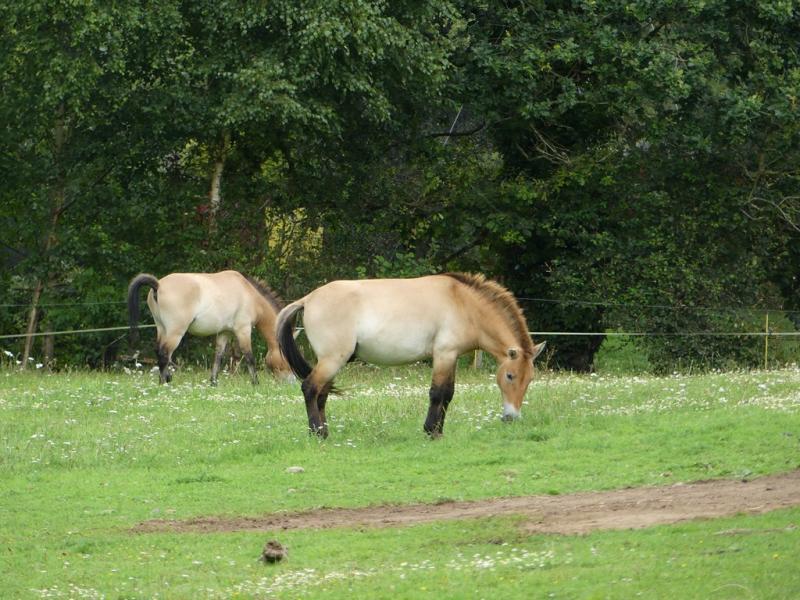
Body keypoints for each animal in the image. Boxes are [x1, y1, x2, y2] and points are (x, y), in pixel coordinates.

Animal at [127, 270, 294, 384]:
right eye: (287, 357)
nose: (291, 381)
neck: (249, 294)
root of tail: (158, 285)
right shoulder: (243, 330)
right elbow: (249, 356)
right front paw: (256, 383)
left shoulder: (224, 333)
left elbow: (218, 356)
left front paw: (213, 382)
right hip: (175, 332)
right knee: (164, 354)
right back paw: (165, 383)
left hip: (162, 329)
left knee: (160, 352)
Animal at [275, 272, 546, 438]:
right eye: (510, 376)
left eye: (529, 380)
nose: (511, 417)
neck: (463, 303)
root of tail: (308, 299)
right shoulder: (443, 355)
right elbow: (438, 393)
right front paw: (430, 431)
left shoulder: (452, 357)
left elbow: (448, 394)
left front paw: (438, 431)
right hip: (332, 360)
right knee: (310, 388)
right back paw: (318, 433)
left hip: (332, 362)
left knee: (321, 395)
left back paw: (324, 432)